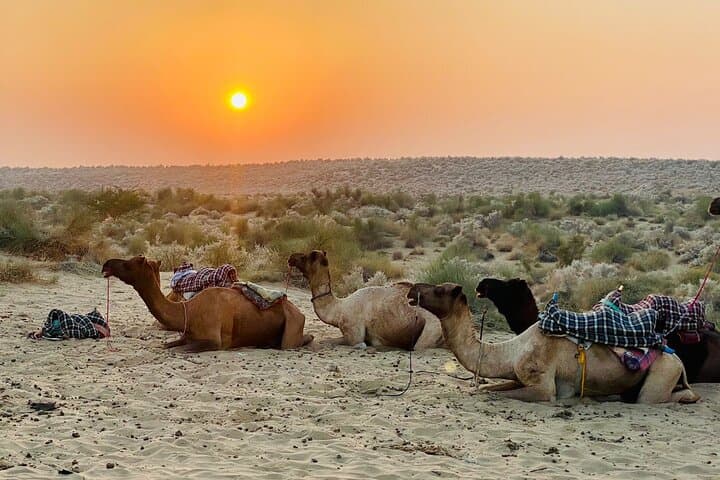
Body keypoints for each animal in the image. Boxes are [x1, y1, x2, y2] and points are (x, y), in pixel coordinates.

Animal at [101, 256, 314, 352]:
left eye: (128, 264)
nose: (106, 264)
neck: (188, 310)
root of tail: (300, 312)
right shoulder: (186, 335)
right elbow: (167, 346)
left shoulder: (213, 341)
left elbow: (180, 350)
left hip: (293, 326)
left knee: (293, 342)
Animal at [287, 250, 444, 350]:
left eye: (306, 256)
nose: (291, 257)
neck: (339, 308)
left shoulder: (354, 334)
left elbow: (331, 342)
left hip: (430, 331)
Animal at [407, 282, 699, 403]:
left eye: (439, 290)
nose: (411, 291)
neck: (512, 350)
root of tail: (677, 359)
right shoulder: (517, 375)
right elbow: (489, 388)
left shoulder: (543, 386)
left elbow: (492, 392)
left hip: (663, 373)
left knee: (662, 397)